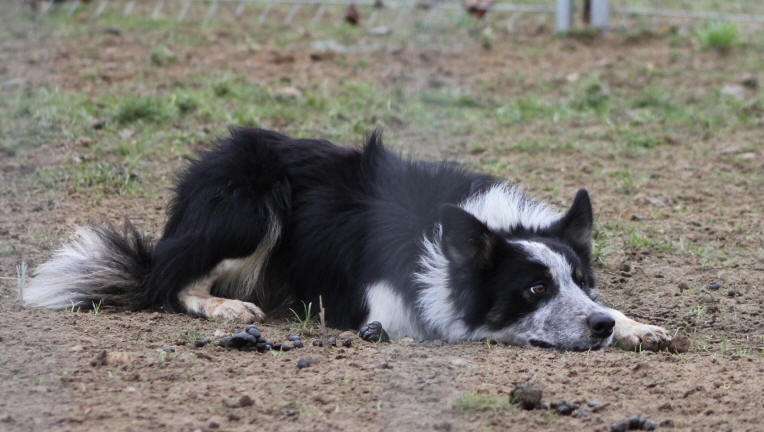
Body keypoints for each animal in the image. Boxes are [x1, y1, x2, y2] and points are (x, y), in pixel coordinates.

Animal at [22, 128, 668, 352]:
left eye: (581, 282)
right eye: (534, 289)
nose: (599, 326)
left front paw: (634, 325)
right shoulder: (384, 309)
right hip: (252, 201)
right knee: (170, 283)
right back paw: (225, 304)